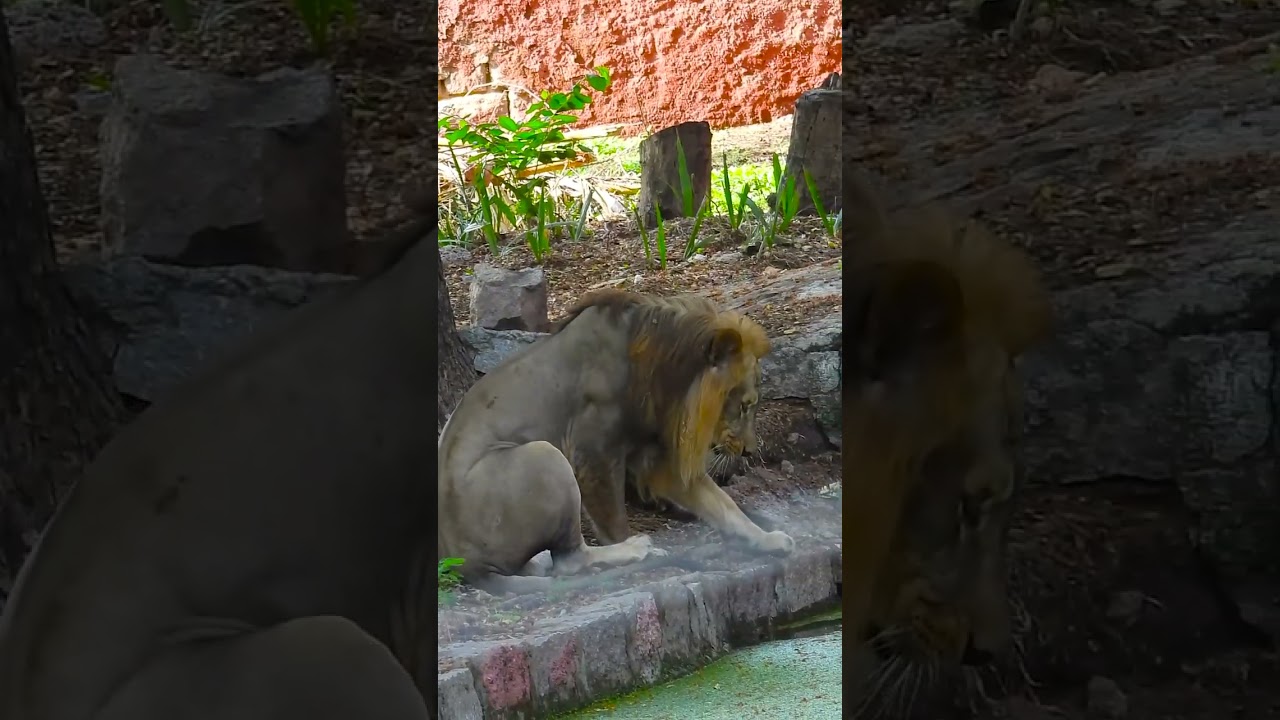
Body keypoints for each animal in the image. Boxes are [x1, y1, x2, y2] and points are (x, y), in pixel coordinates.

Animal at [437, 289, 793, 595]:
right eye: (745, 405)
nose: (750, 451)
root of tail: (467, 565)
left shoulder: (657, 455)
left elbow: (723, 504)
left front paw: (768, 539)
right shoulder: (592, 450)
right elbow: (614, 518)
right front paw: (631, 544)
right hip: (545, 455)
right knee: (570, 560)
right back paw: (638, 550)